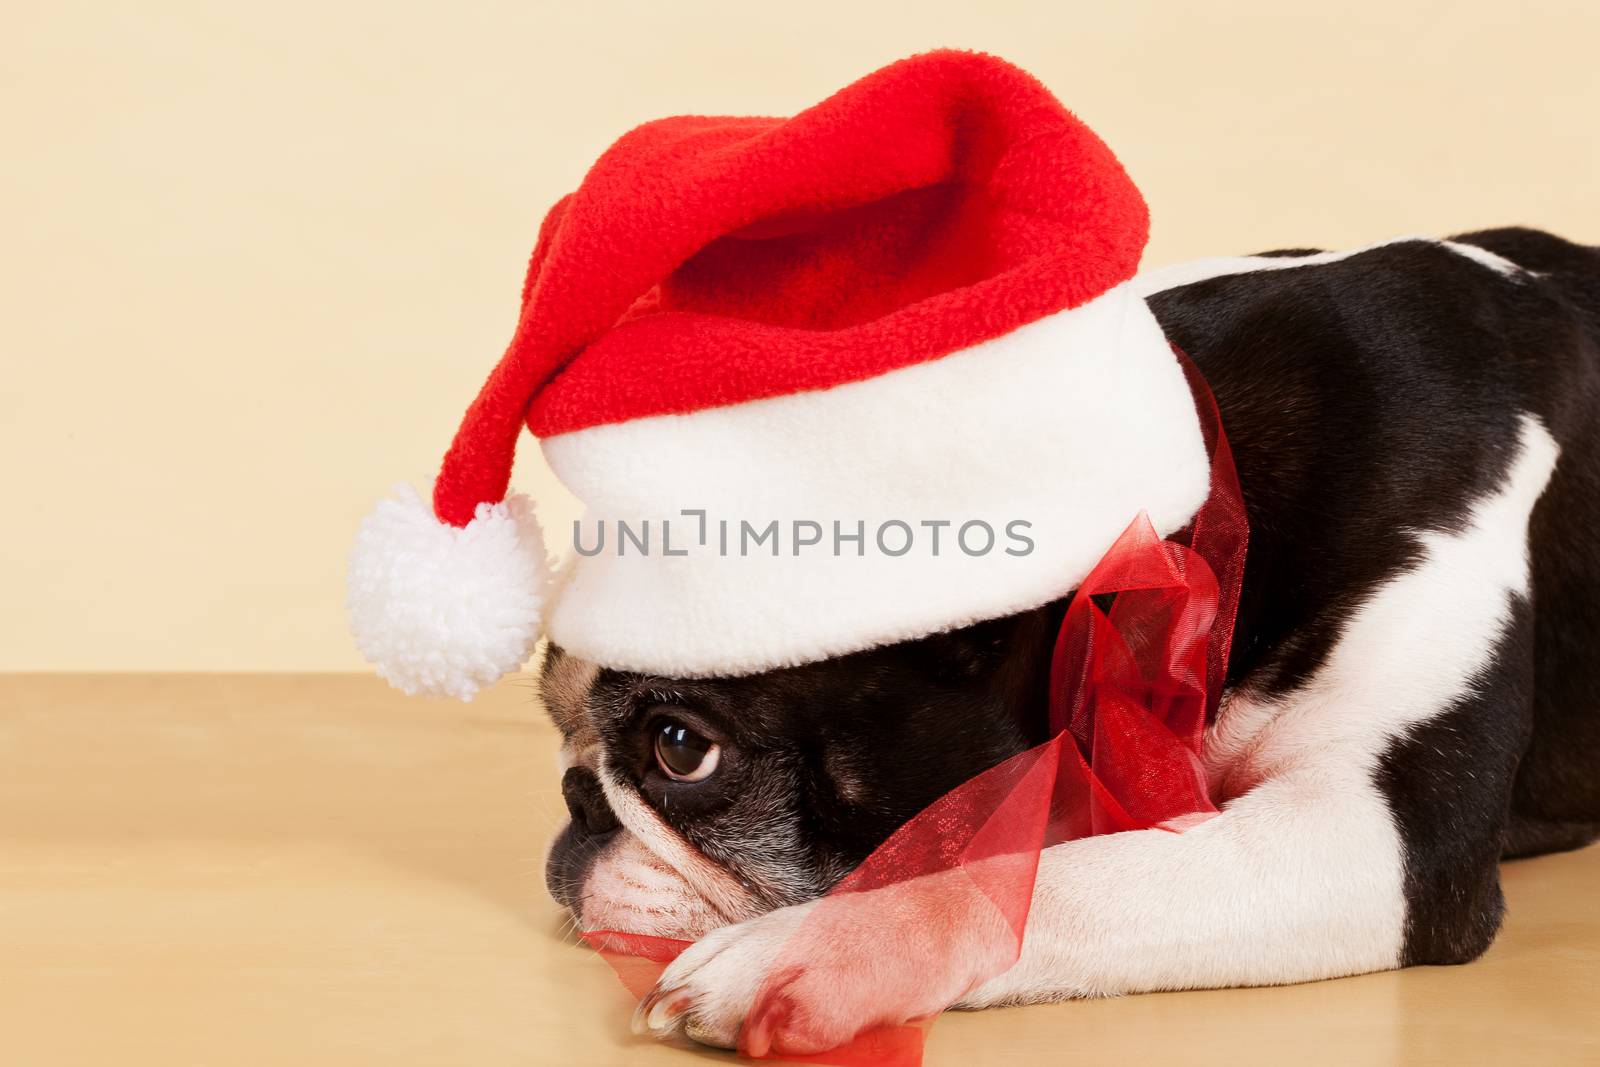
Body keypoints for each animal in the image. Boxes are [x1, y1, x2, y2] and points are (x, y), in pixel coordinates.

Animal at [540, 225, 1600, 1049]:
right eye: (556, 724)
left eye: (681, 748)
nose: (577, 797)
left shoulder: (1383, 834)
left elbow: (1053, 878)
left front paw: (812, 948)